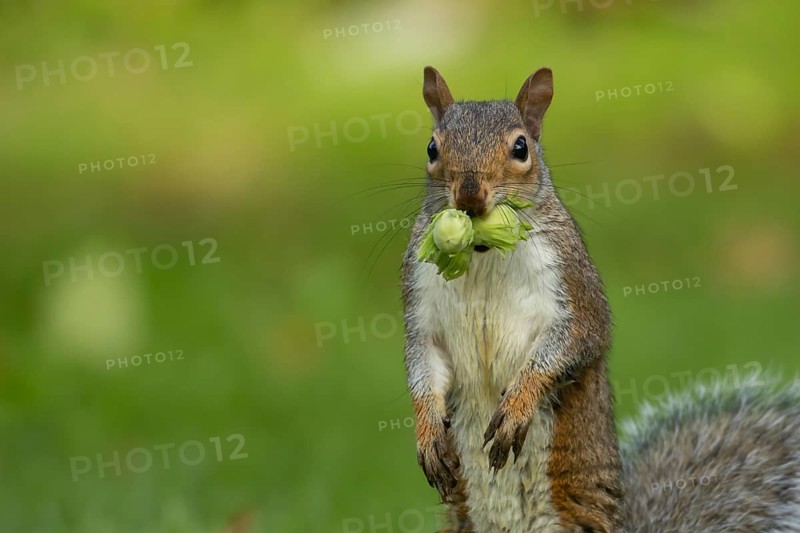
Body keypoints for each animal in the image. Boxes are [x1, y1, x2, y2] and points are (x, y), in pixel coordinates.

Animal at [401, 66, 800, 533]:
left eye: (521, 147)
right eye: (432, 147)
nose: (468, 194)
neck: (482, 253)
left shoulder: (572, 287)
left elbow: (571, 346)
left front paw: (518, 405)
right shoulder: (422, 304)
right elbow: (424, 364)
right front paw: (428, 432)